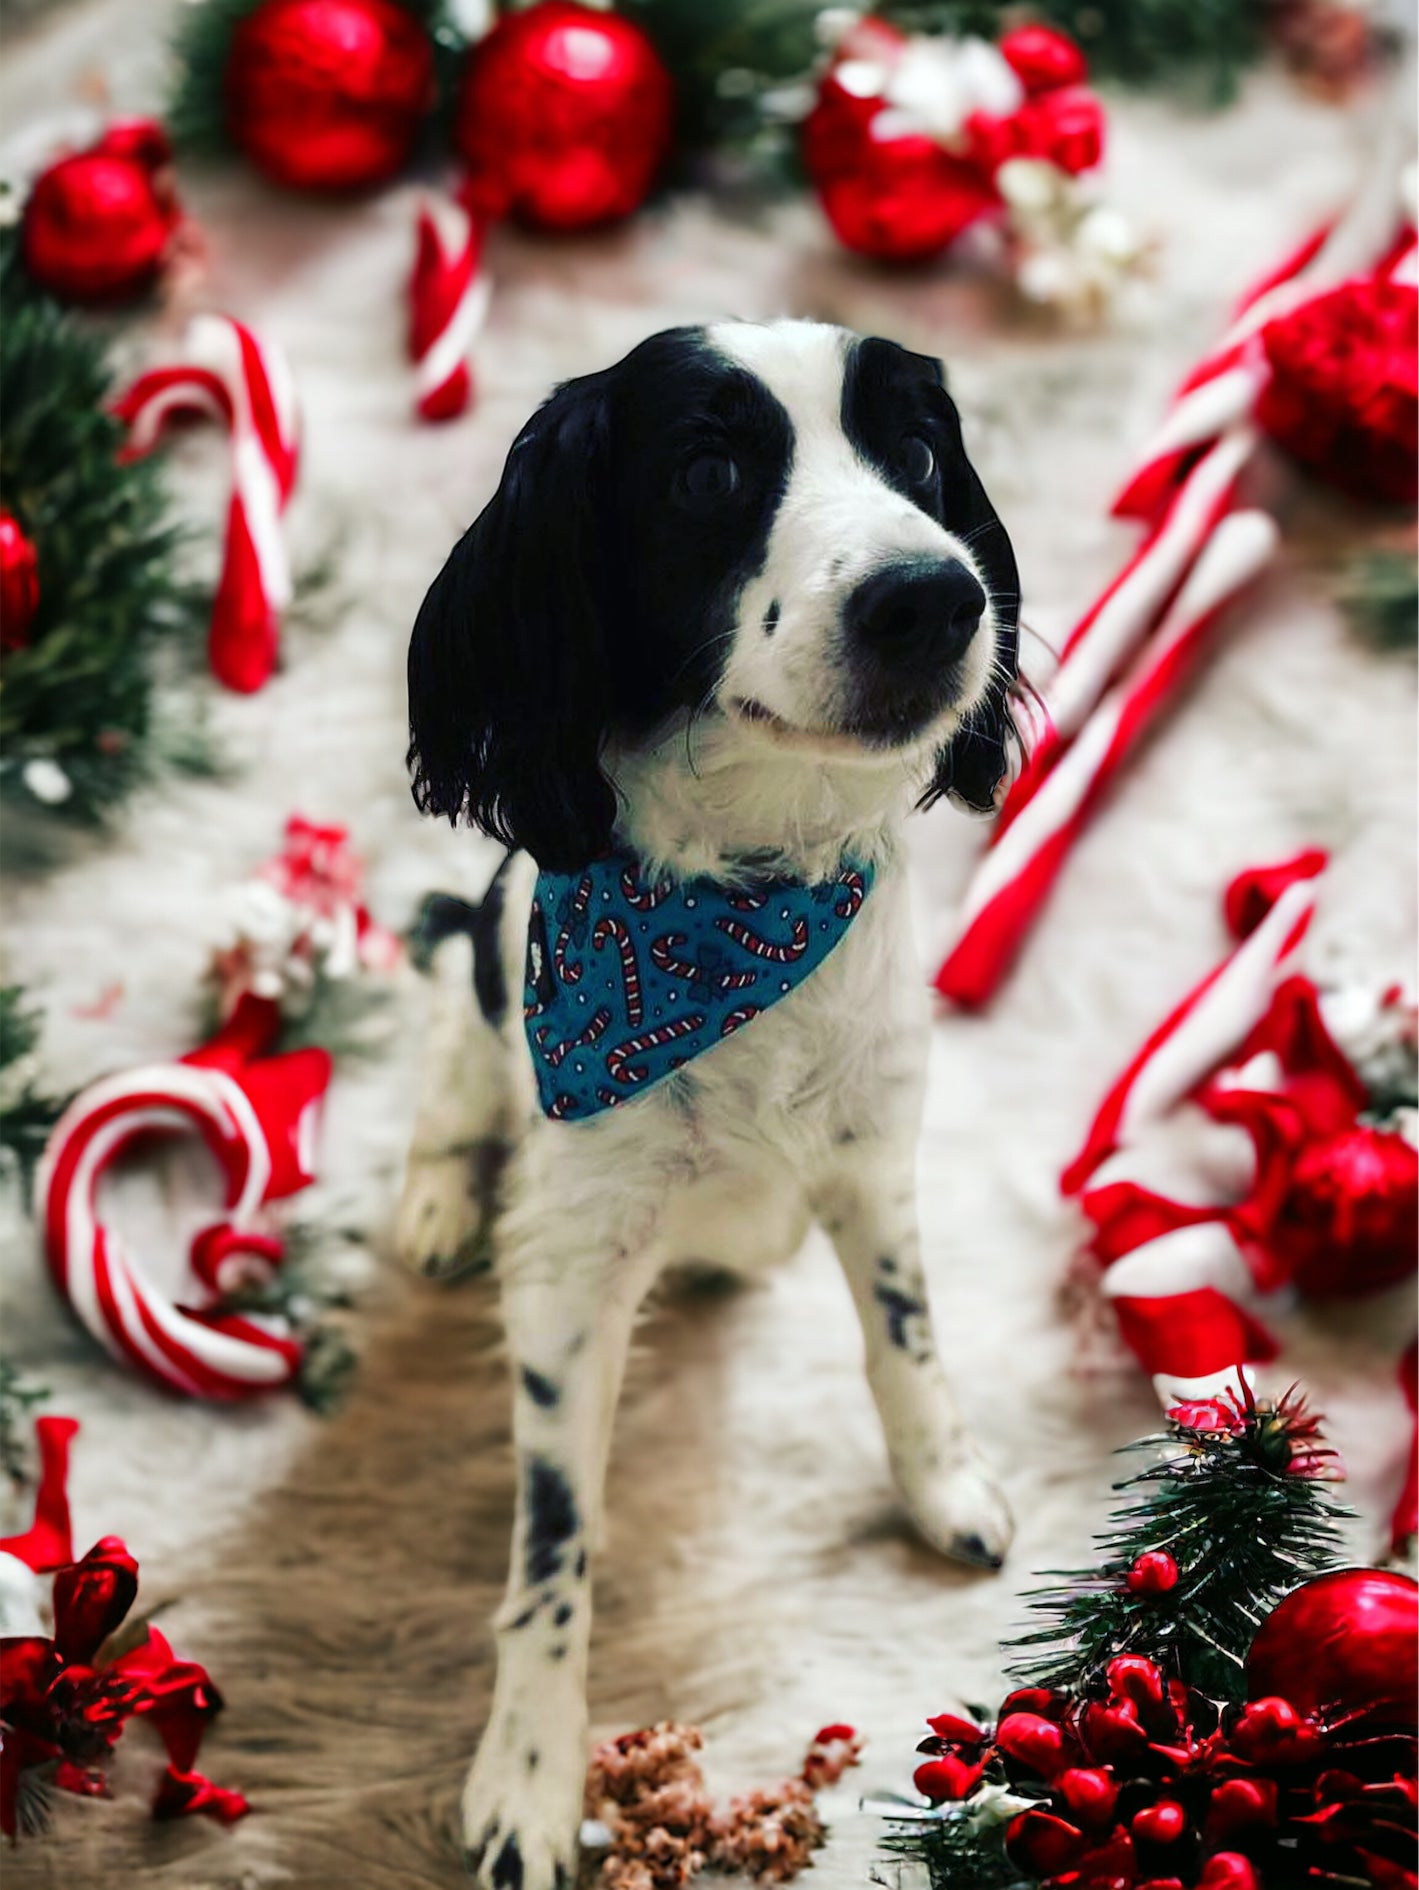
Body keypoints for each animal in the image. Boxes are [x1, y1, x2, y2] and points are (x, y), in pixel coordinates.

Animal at [400, 325, 1020, 1890]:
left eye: (915, 452)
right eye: (704, 473)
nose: (935, 596)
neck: (734, 923)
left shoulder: (874, 1149)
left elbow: (904, 1341)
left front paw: (946, 1487)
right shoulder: (569, 1268)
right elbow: (552, 1551)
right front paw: (529, 1774)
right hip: (474, 978)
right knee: (445, 1059)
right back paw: (434, 1198)